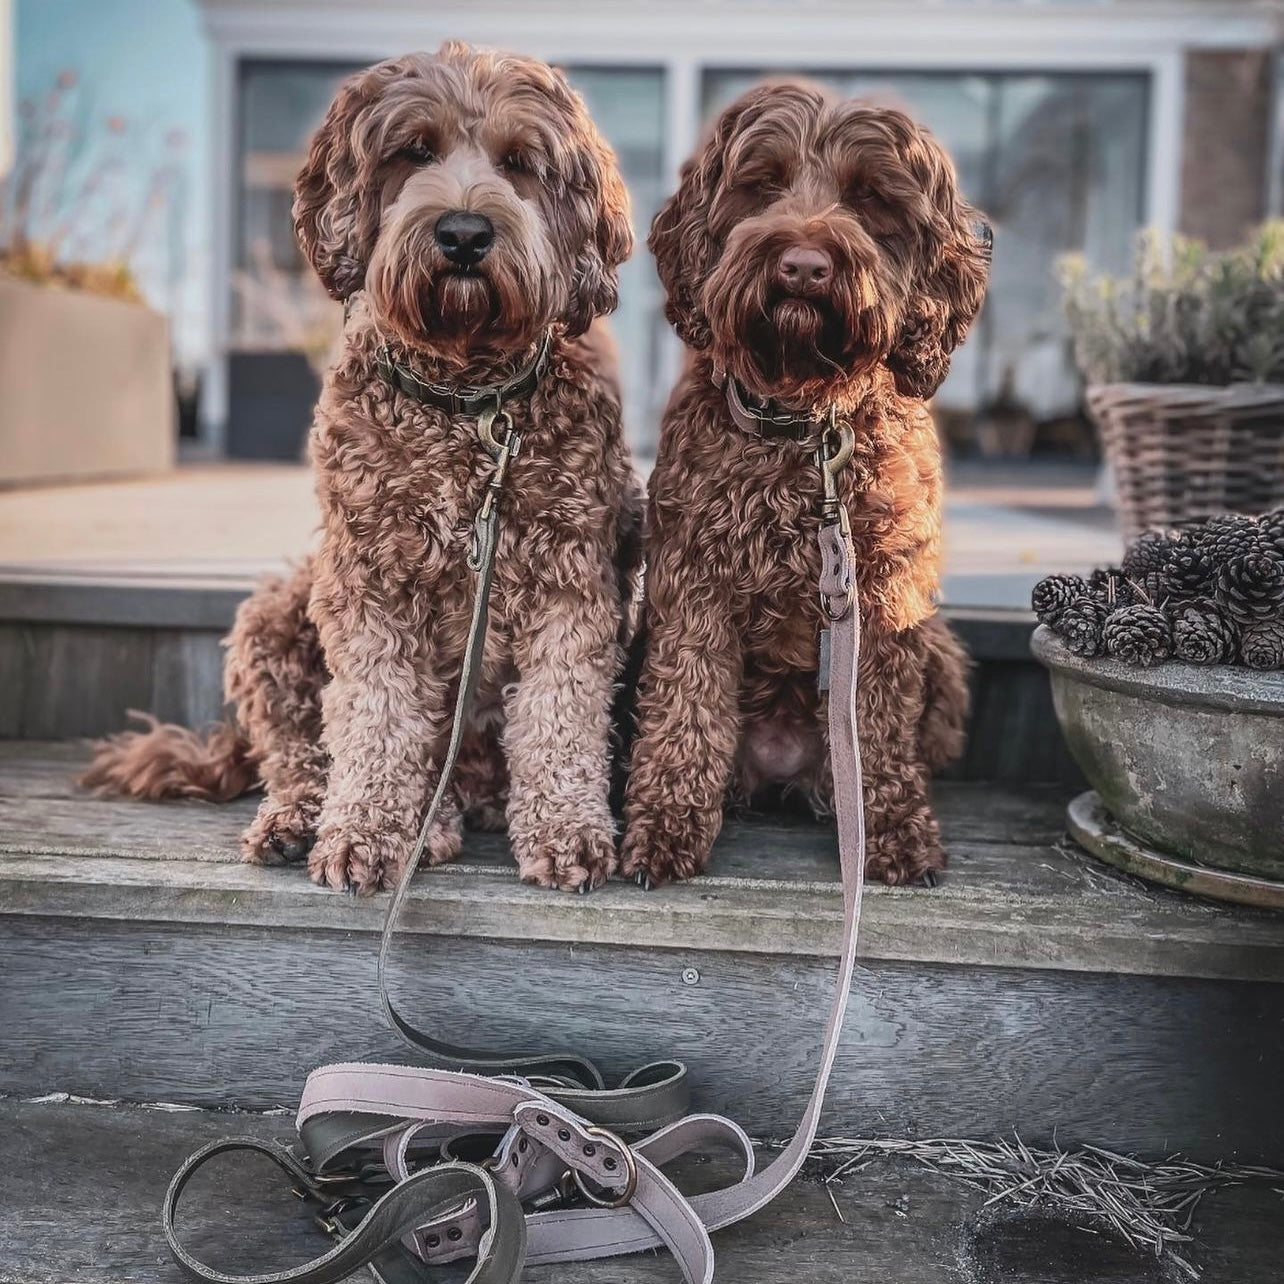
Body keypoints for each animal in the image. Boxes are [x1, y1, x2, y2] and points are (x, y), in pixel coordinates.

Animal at [84, 45, 642, 898]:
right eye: (413, 150)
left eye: (520, 162)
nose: (464, 232)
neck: (465, 400)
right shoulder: (368, 579)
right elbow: (375, 718)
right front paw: (365, 833)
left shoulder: (573, 580)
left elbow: (560, 715)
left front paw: (567, 831)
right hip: (276, 614)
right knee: (298, 756)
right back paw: (320, 822)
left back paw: (451, 817)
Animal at [624, 77, 991, 883]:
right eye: (762, 183)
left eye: (871, 198)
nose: (801, 265)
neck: (807, 425)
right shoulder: (692, 579)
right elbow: (688, 706)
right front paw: (666, 824)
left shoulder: (885, 593)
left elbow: (878, 724)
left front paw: (892, 831)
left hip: (943, 655)